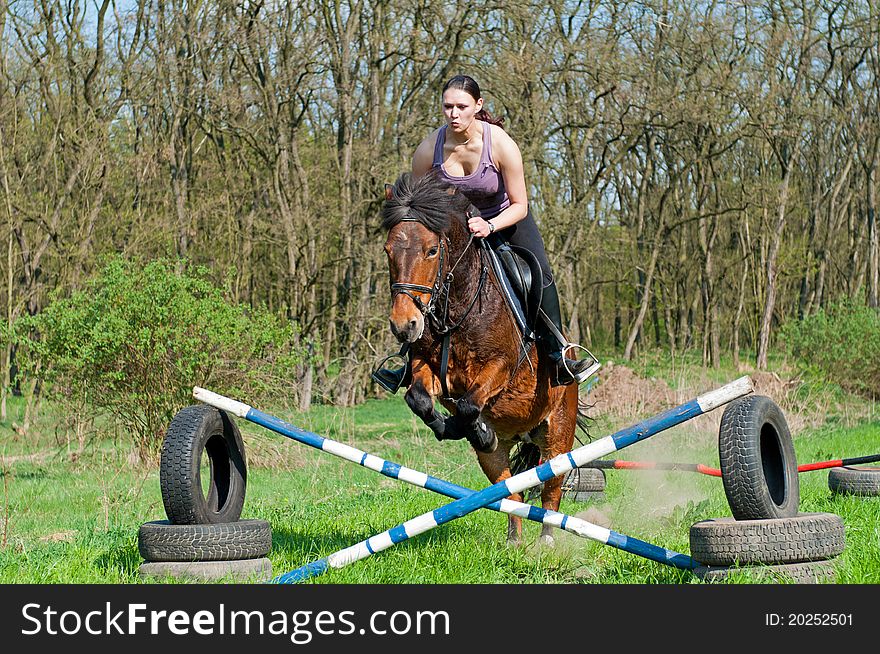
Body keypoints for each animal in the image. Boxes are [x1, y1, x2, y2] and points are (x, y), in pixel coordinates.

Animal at [380, 172, 580, 544]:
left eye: (432, 250)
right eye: (388, 251)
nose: (405, 325)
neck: (455, 307)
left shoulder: (501, 366)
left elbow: (471, 403)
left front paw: (473, 427)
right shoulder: (428, 367)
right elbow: (419, 398)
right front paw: (456, 427)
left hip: (558, 431)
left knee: (551, 490)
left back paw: (546, 542)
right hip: (501, 455)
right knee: (511, 492)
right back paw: (514, 542)